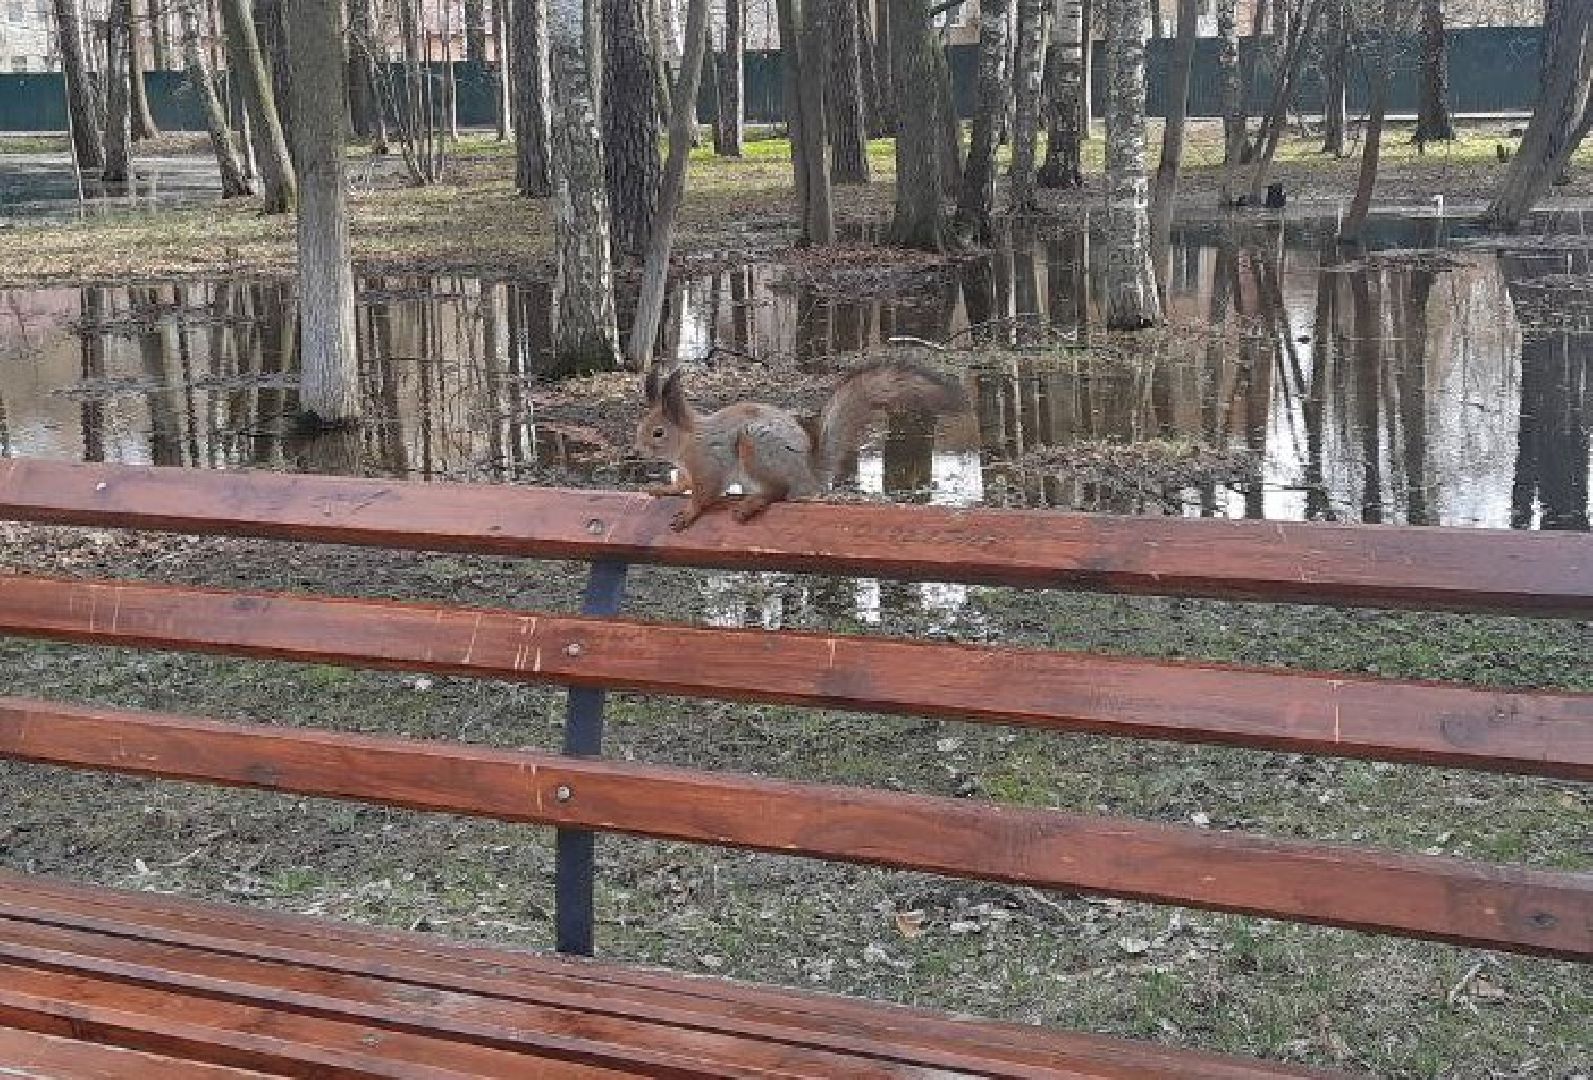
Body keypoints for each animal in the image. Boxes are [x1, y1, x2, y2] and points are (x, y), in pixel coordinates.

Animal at [634, 360, 969, 531]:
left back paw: (752, 504)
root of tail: (811, 474)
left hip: (755, 446)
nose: (637, 450)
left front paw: (689, 512)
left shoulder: (710, 464)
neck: (688, 442)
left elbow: (705, 494)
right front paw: (665, 489)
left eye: (658, 433)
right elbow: (683, 484)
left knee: (779, 491)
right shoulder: (688, 469)